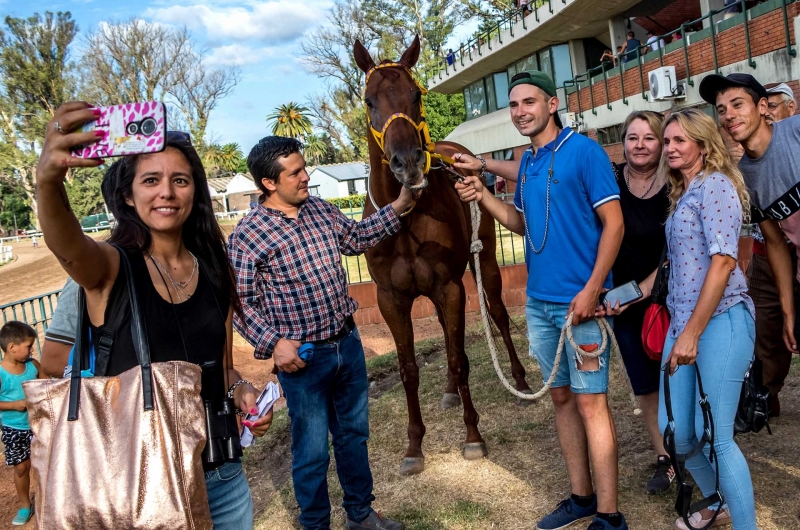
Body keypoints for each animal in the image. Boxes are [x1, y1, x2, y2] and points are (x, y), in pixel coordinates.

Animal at [354, 38, 532, 474]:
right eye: (369, 100)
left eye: (416, 95)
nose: (409, 162)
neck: (404, 221)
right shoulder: (391, 299)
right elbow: (409, 369)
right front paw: (414, 446)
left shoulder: (450, 286)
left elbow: (458, 358)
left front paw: (473, 436)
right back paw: (451, 393)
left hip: (485, 263)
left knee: (497, 315)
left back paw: (519, 378)